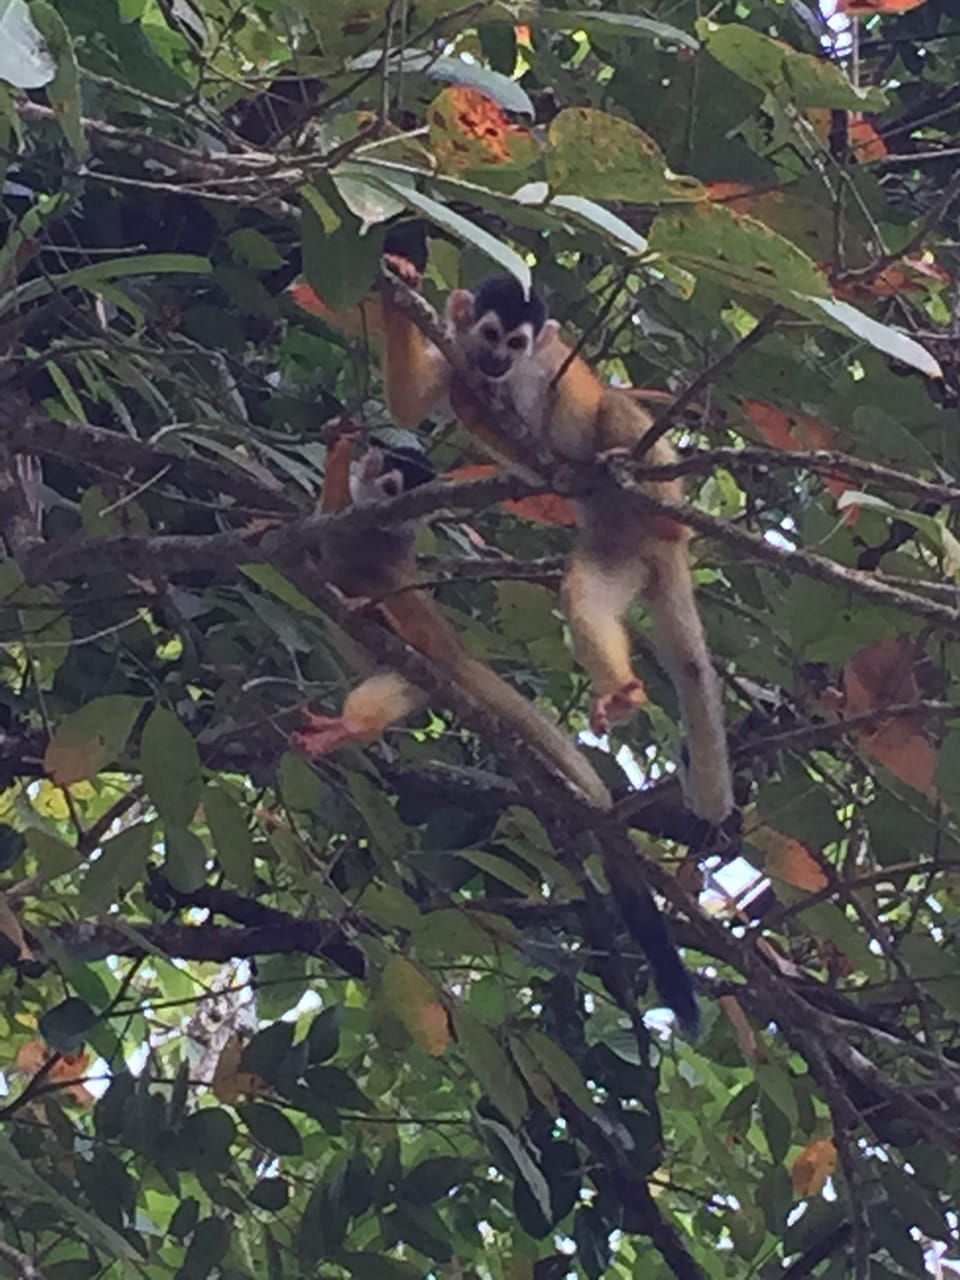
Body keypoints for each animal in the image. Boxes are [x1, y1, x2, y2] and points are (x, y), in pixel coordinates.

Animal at [292, 432, 614, 813]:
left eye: (410, 496)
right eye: (393, 483)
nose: (392, 493)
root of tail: (455, 652)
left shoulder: (384, 535)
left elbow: (345, 542)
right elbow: (323, 534)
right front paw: (339, 450)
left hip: (426, 665)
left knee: (403, 604)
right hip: (416, 679)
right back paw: (352, 724)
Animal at [380, 270, 733, 826]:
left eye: (517, 343)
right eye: (490, 334)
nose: (497, 361)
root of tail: (661, 543)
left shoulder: (548, 365)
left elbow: (563, 402)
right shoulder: (457, 353)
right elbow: (410, 404)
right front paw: (397, 283)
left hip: (659, 496)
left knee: (613, 405)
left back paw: (642, 490)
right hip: (616, 549)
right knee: (583, 595)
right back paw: (621, 693)